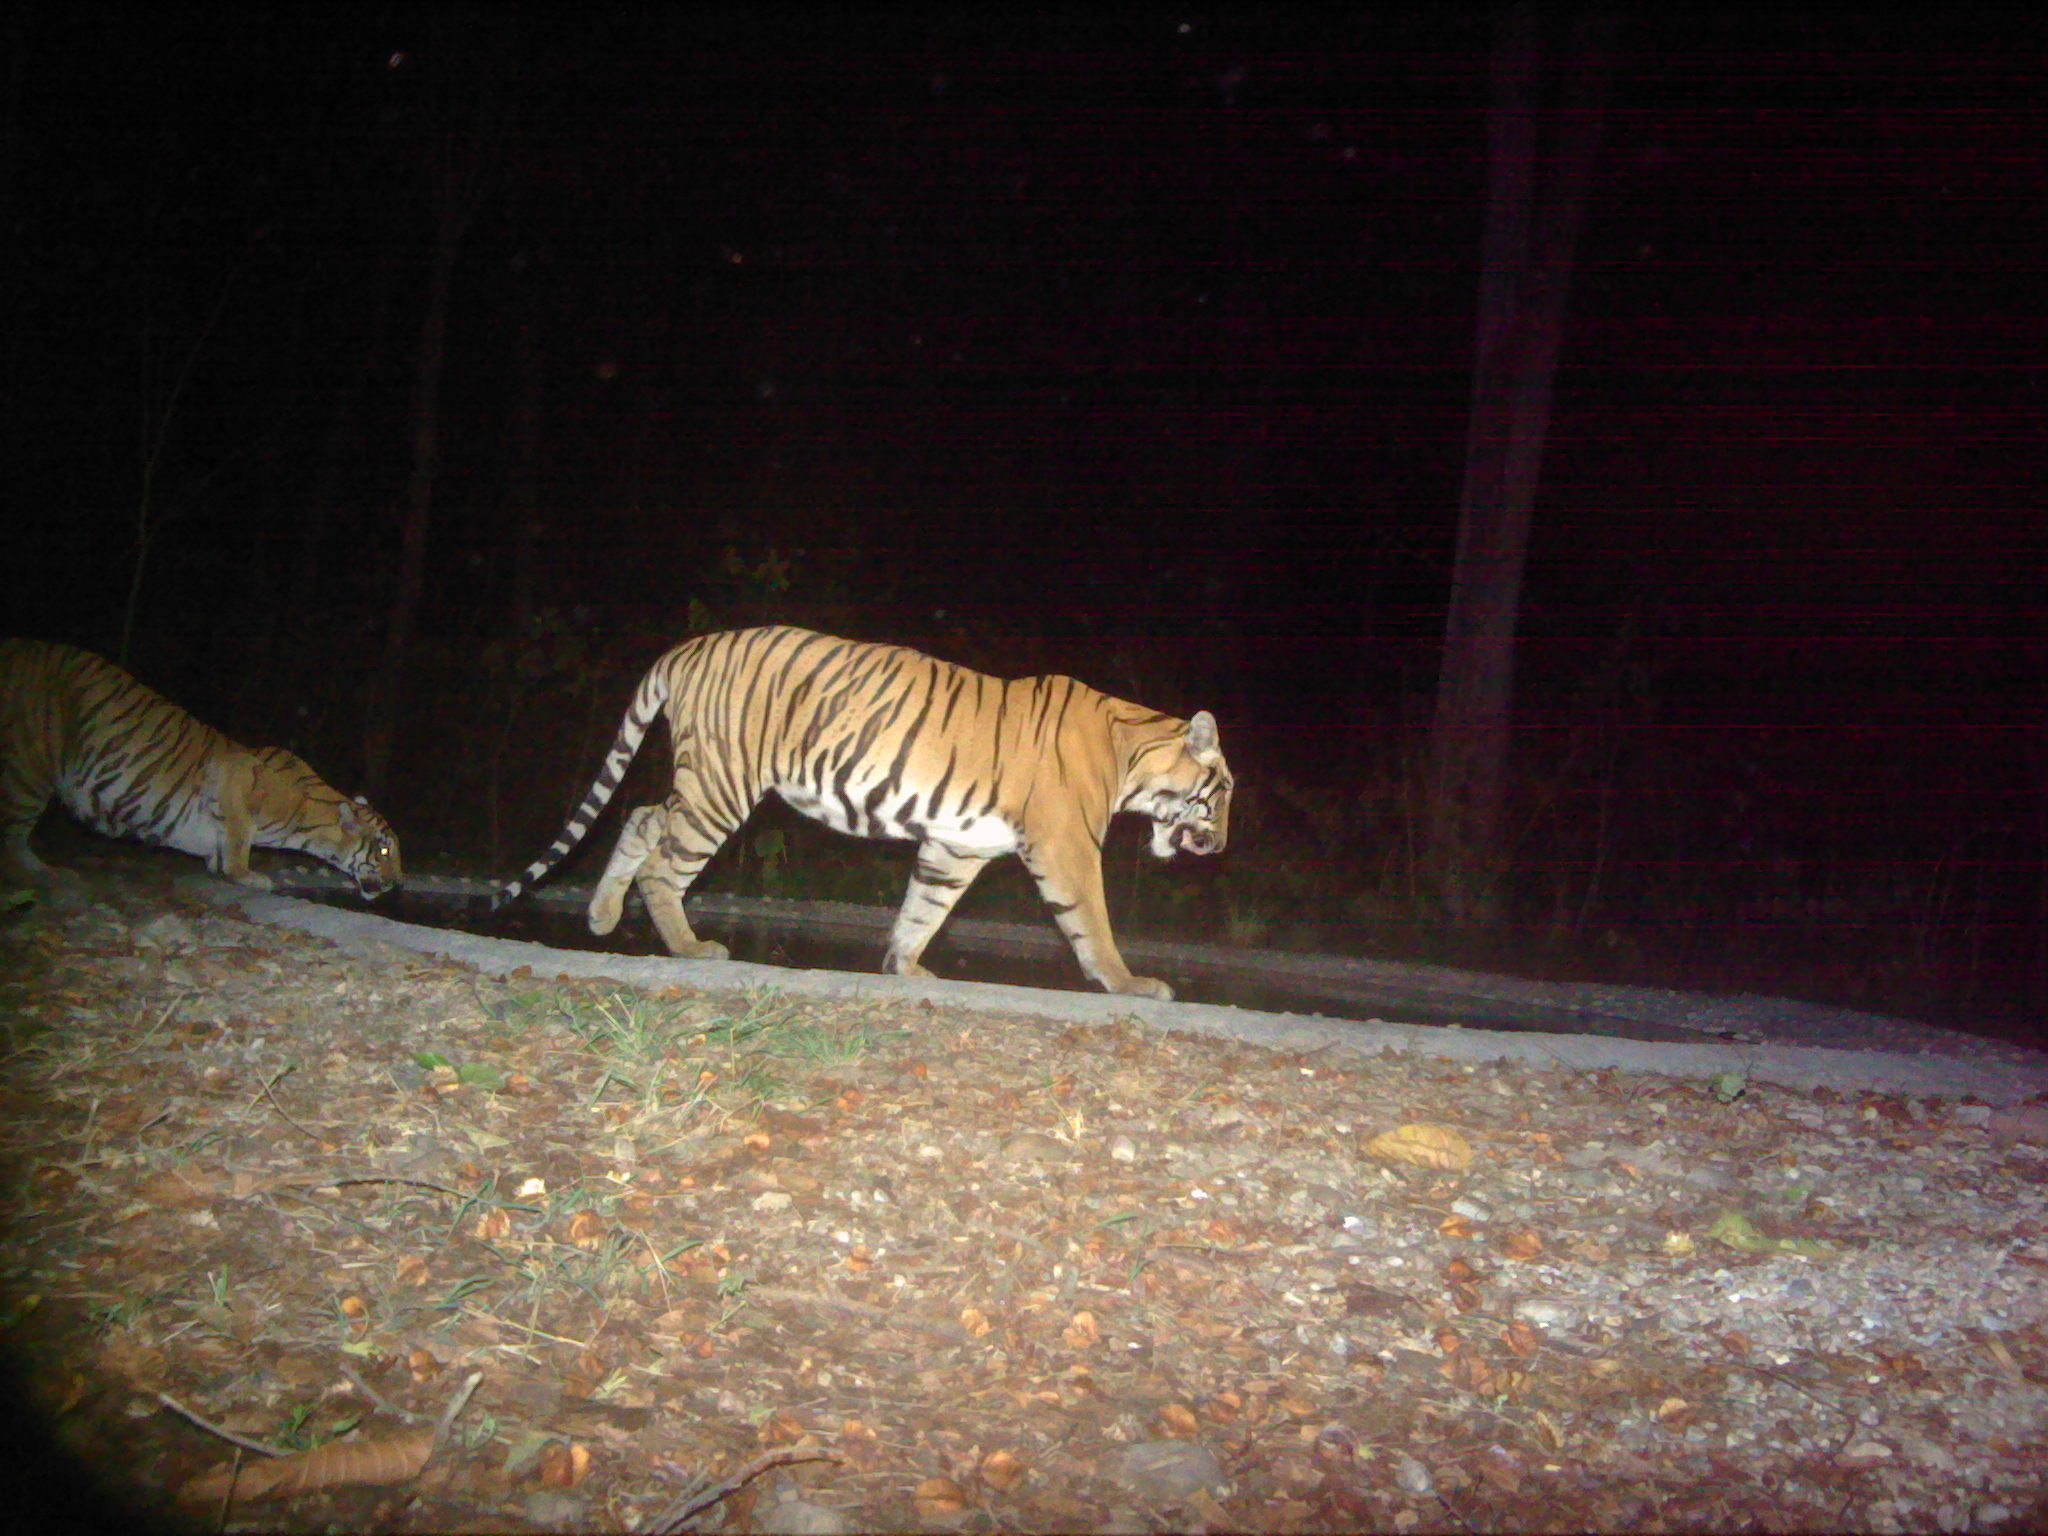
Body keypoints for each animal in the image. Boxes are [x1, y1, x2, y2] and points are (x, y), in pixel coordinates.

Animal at [1, 638, 399, 901]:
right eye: (383, 852)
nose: (397, 883)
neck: (309, 824)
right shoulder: (235, 776)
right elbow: (239, 836)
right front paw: (246, 875)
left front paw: (218, 865)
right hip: (30, 765)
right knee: (13, 835)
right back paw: (42, 872)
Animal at [495, 626, 1228, 999]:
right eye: (1220, 793)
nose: (1220, 848)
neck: (1134, 752)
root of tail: (688, 647)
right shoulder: (1065, 845)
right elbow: (1091, 922)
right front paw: (1132, 984)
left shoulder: (955, 845)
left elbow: (924, 910)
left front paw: (905, 969)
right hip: (724, 783)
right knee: (664, 865)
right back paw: (690, 947)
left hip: (701, 781)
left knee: (642, 818)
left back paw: (601, 915)